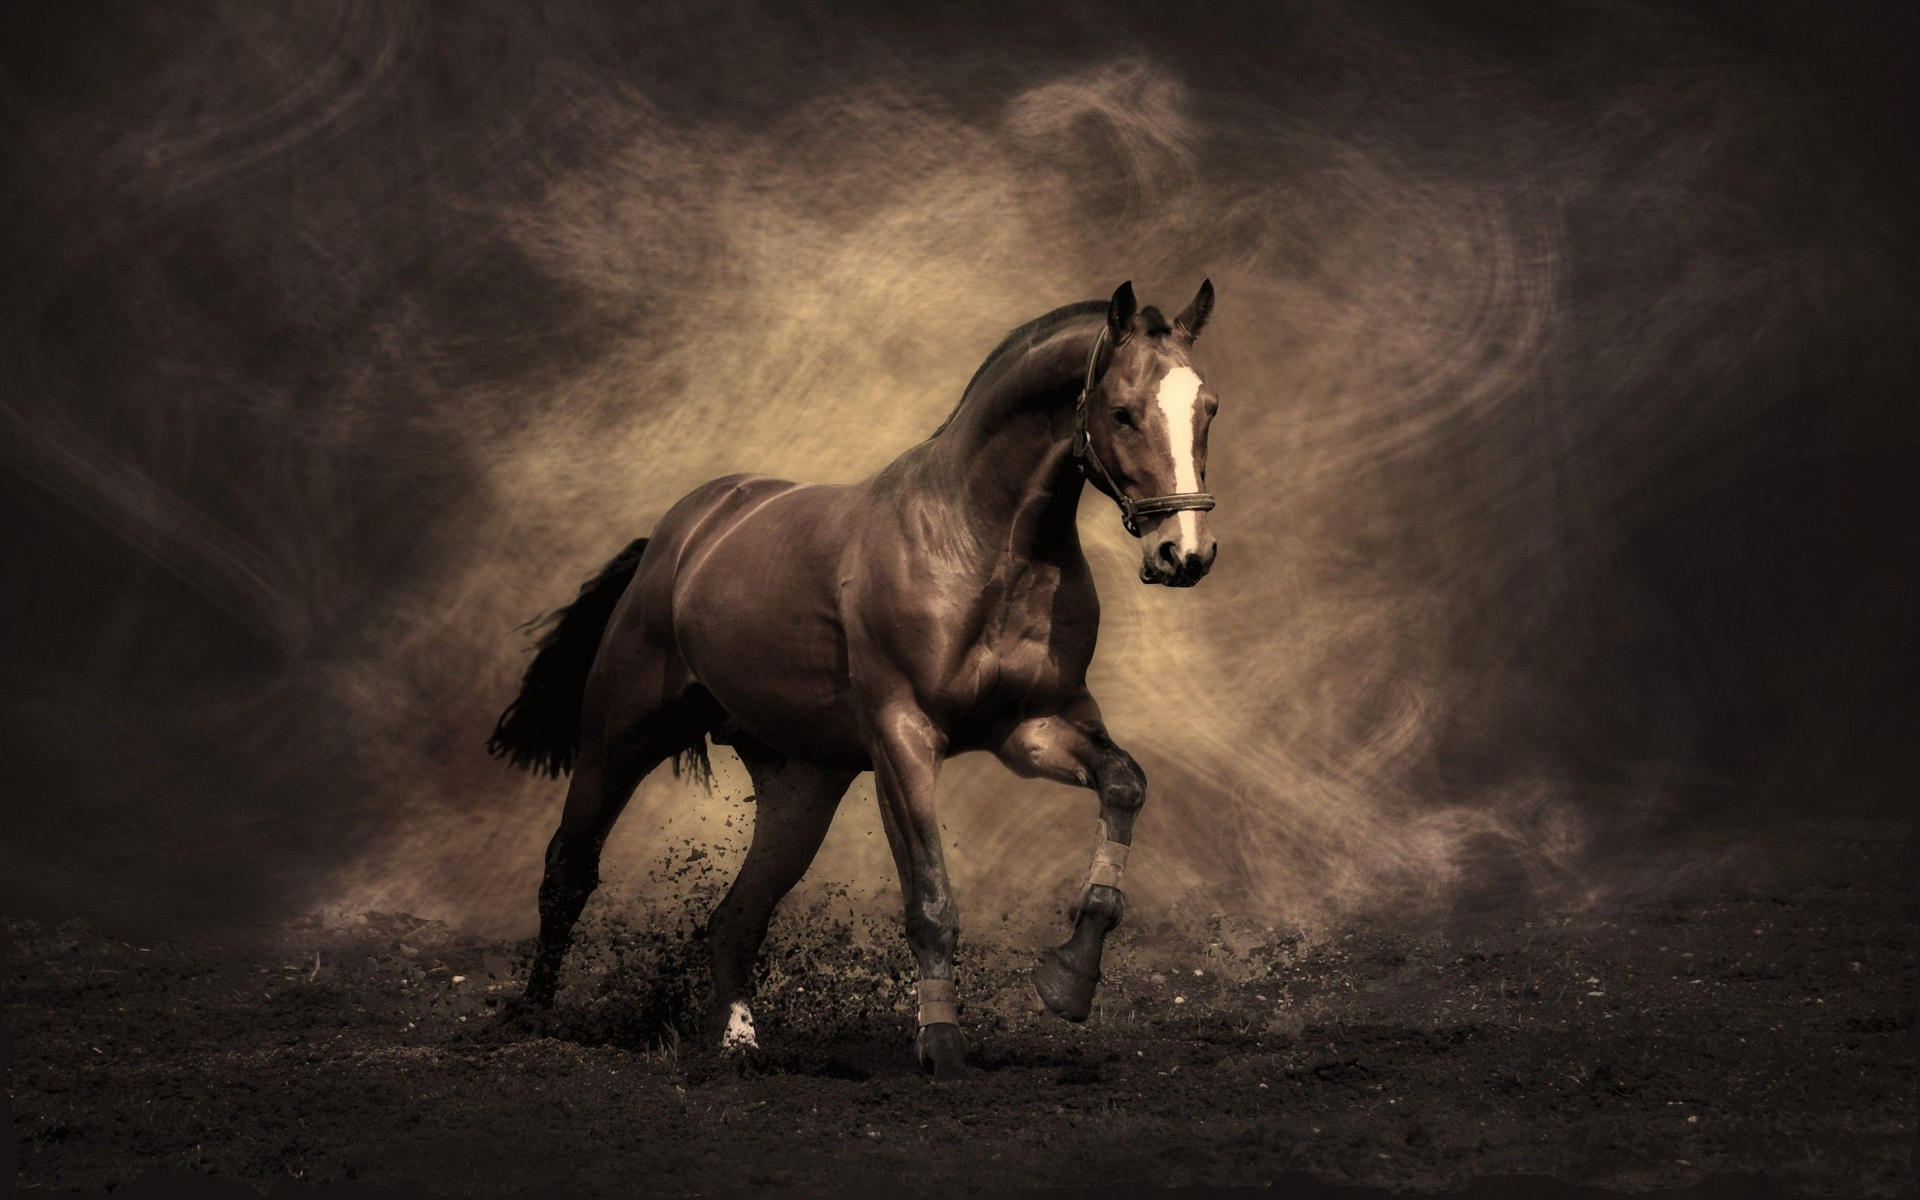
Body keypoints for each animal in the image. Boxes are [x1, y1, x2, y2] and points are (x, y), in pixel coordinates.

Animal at [488, 279, 1222, 1079]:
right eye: (1121, 411)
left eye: (1208, 408)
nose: (1185, 554)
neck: (980, 545)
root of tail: (680, 537)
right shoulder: (903, 739)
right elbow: (930, 901)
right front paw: (943, 1049)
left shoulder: (1033, 728)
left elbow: (1124, 785)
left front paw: (1067, 981)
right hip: (620, 736)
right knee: (569, 869)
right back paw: (532, 1017)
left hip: (802, 786)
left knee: (736, 916)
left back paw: (738, 1043)